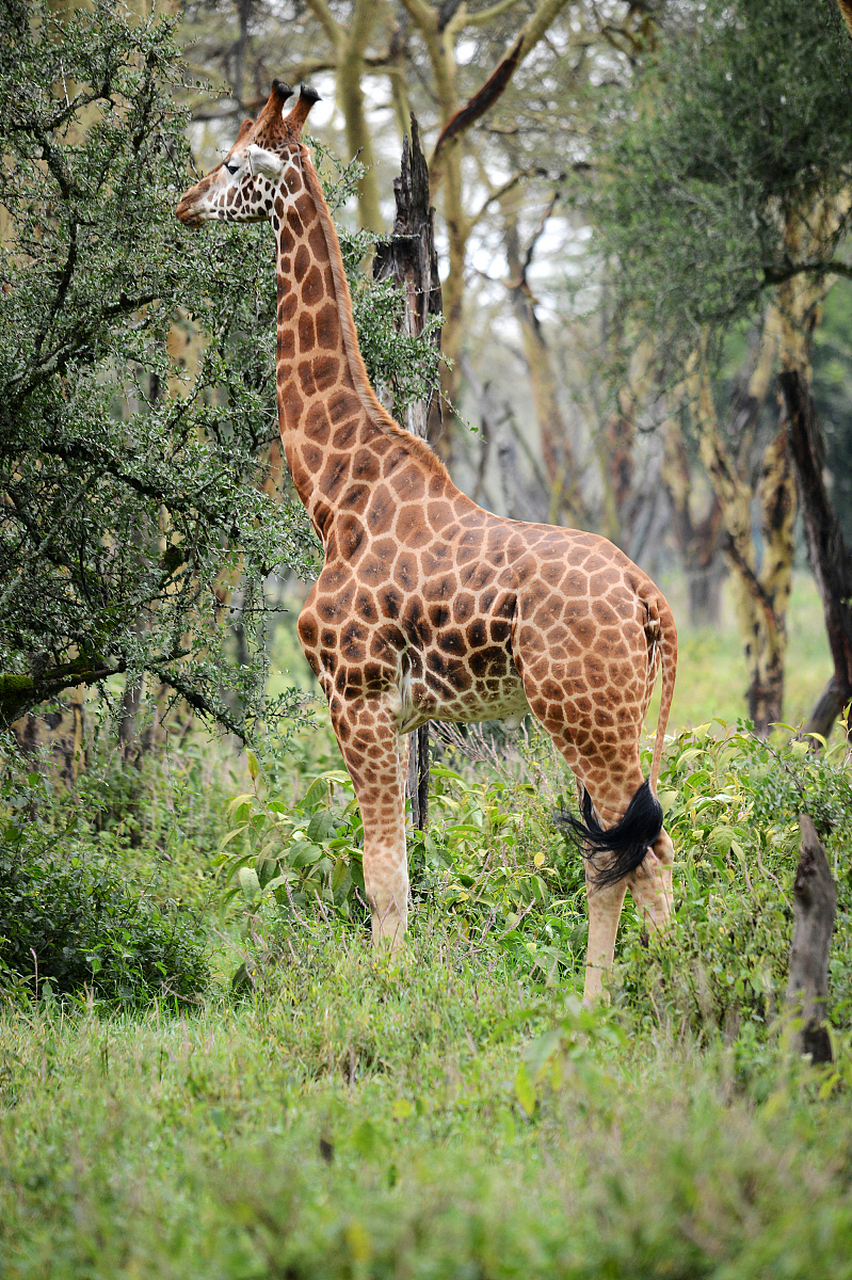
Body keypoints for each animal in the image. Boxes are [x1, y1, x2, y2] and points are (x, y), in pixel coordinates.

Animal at [173, 80, 675, 1003]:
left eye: (230, 162)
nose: (184, 203)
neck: (336, 495)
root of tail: (647, 597)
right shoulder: (403, 713)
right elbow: (402, 864)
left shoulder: (355, 693)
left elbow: (381, 873)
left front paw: (385, 995)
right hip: (602, 716)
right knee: (622, 852)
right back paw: (609, 999)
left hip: (586, 715)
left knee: (641, 851)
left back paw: (644, 997)